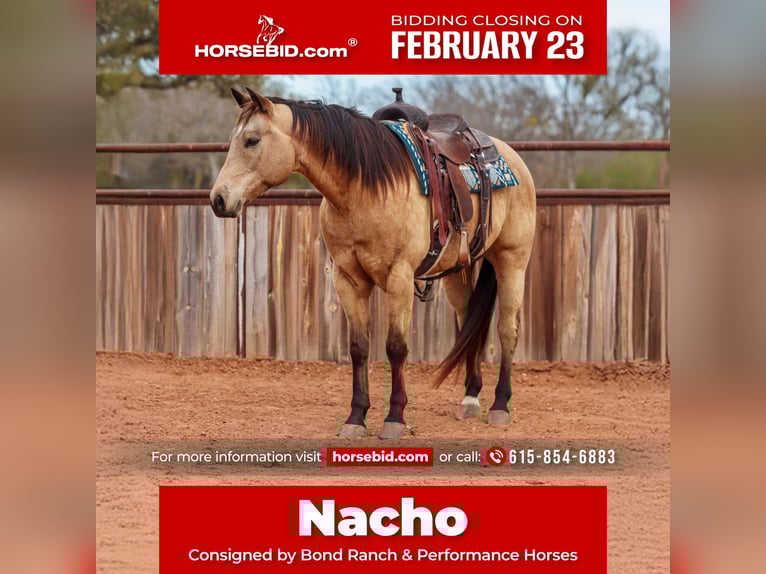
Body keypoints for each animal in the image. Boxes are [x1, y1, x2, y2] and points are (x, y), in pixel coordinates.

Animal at [210, 88, 536, 439]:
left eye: (252, 140)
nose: (218, 199)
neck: (363, 190)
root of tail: (509, 156)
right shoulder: (348, 279)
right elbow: (359, 347)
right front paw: (356, 418)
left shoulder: (399, 278)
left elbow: (395, 347)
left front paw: (394, 417)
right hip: (457, 271)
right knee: (468, 323)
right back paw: (470, 398)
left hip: (512, 260)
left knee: (508, 329)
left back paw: (500, 405)